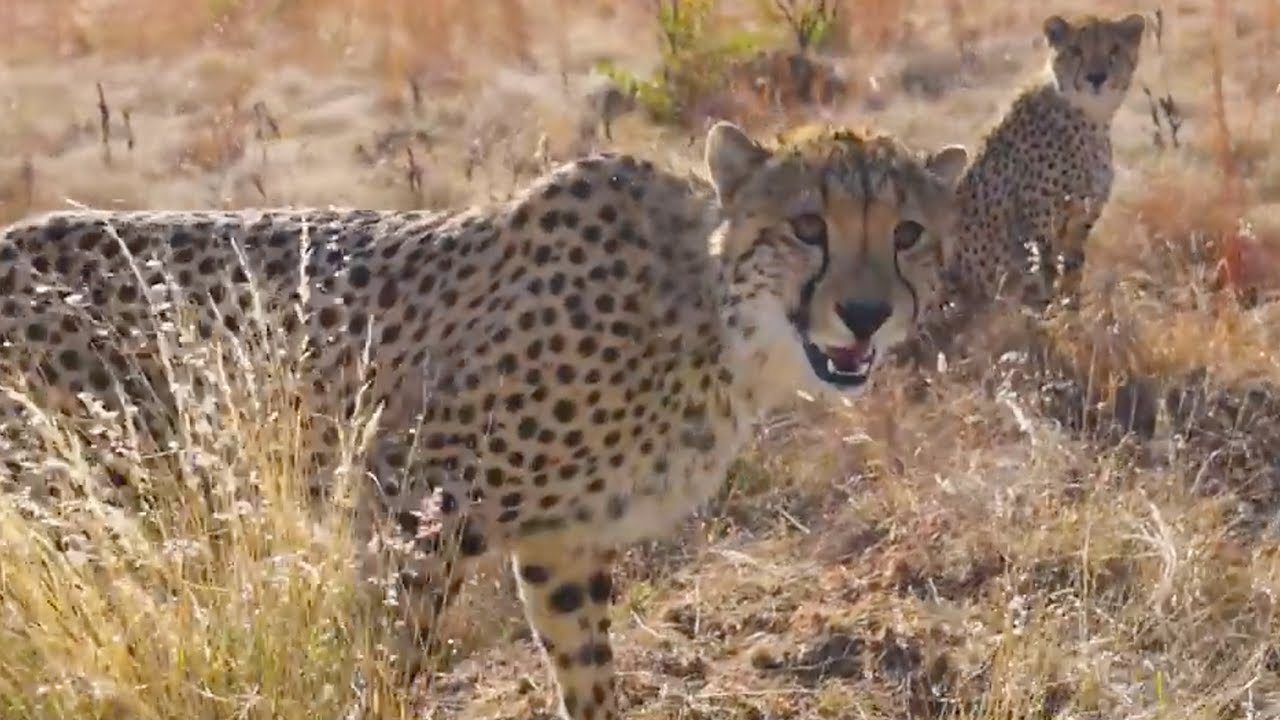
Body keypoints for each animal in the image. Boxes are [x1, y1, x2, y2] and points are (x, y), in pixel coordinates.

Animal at [0, 120, 968, 719]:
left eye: (908, 234)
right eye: (807, 227)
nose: (868, 314)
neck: (708, 319)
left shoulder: (562, 541)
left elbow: (588, 671)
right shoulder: (416, 501)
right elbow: (397, 663)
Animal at [922, 11, 1147, 358]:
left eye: (1114, 50)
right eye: (1076, 50)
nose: (1096, 77)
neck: (1089, 119)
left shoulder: (1079, 222)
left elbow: (1071, 279)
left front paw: (1072, 323)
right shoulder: (1037, 224)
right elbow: (1045, 279)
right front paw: (1048, 327)